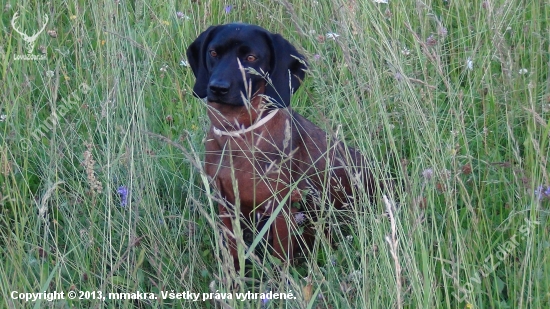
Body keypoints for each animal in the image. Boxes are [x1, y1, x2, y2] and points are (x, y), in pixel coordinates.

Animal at [188, 22, 382, 266]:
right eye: (213, 53)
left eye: (251, 57)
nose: (217, 88)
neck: (238, 133)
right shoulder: (227, 206)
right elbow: (234, 254)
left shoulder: (280, 210)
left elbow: (281, 259)